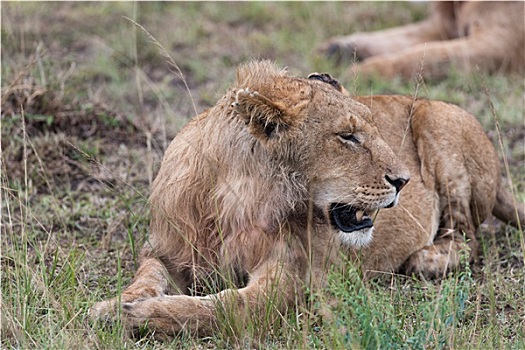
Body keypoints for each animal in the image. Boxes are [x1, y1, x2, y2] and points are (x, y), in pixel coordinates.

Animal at [89, 60, 520, 340]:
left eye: (375, 131)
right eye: (348, 136)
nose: (404, 180)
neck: (233, 201)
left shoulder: (290, 282)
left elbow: (220, 307)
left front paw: (132, 316)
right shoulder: (167, 250)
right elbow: (147, 276)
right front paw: (120, 302)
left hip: (441, 127)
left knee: (469, 238)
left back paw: (426, 260)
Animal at [320, 1, 524, 79]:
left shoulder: (501, 44)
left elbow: (424, 55)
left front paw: (359, 72)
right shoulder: (442, 25)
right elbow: (400, 36)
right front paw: (337, 49)